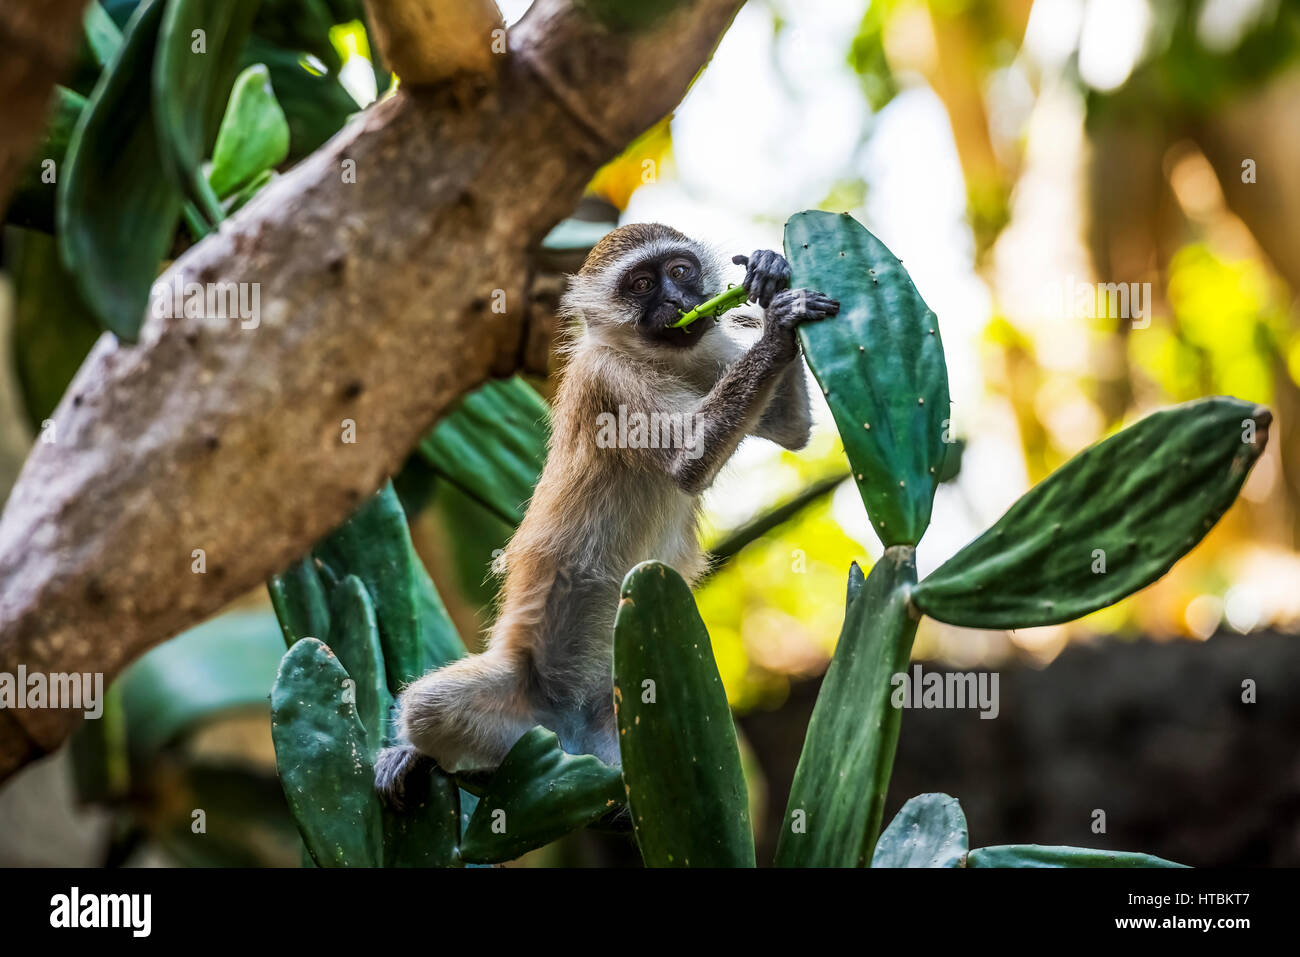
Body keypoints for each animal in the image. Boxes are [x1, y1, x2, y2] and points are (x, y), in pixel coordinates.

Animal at [379, 223, 837, 806]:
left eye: (681, 271)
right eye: (642, 284)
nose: (677, 300)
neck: (659, 359)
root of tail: (568, 729)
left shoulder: (709, 349)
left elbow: (790, 429)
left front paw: (769, 273)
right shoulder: (608, 376)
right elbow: (689, 461)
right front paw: (779, 324)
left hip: (624, 722)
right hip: (522, 697)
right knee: (429, 707)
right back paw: (422, 757)